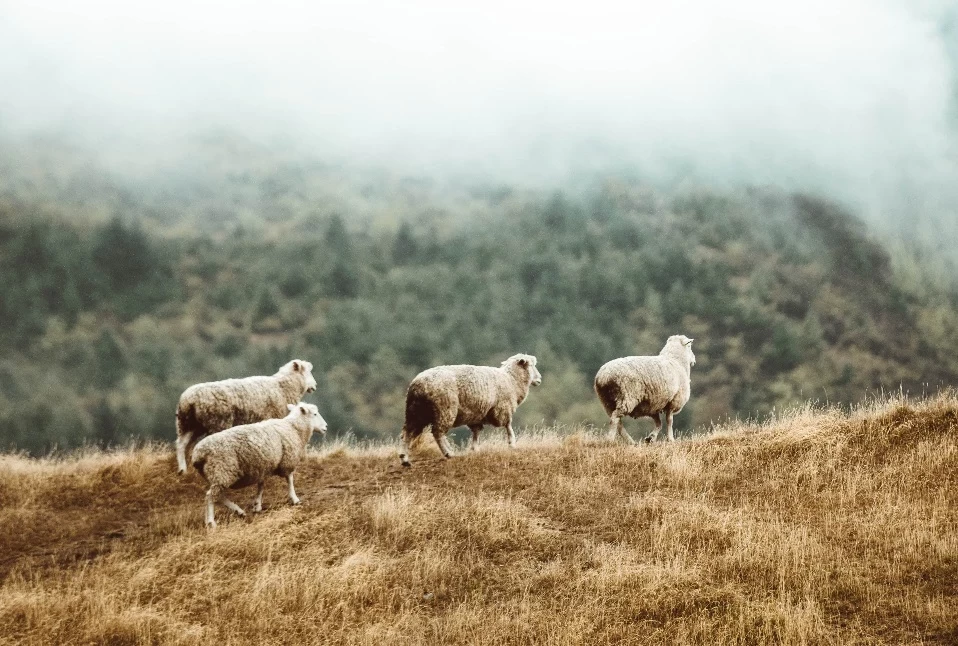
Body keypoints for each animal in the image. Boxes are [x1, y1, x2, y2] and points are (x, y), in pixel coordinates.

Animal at [175, 360, 318, 476]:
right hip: (217, 422)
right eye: (307, 372)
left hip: (188, 424)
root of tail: (188, 400)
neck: (282, 387)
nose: (315, 386)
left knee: (182, 444)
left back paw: (183, 470)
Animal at [191, 402, 330, 528]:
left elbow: (261, 485)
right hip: (222, 471)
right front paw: (295, 499)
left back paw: (238, 512)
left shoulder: (263, 466)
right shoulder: (287, 460)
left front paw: (257, 505)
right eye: (315, 414)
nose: (326, 427)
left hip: (216, 475)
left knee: (218, 496)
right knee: (210, 496)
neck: (293, 428)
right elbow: (290, 479)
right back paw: (211, 522)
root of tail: (198, 454)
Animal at [398, 354, 544, 466]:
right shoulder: (503, 408)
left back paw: (404, 458)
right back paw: (448, 453)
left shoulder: (477, 415)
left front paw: (474, 449)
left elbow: (476, 432)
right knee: (438, 433)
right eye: (531, 365)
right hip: (445, 409)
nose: (539, 379)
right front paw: (512, 443)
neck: (512, 380)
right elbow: (508, 426)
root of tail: (418, 384)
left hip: (415, 412)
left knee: (407, 432)